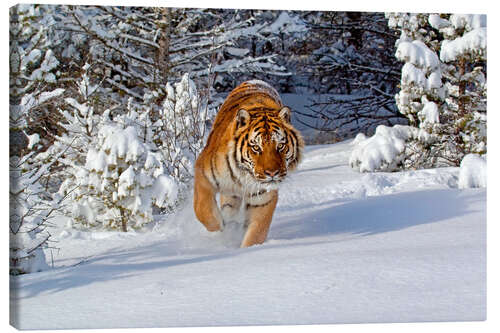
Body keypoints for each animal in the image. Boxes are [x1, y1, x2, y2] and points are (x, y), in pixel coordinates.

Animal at [192, 80, 302, 246]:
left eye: (280, 146)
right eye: (256, 147)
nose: (272, 173)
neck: (244, 175)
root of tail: (255, 81)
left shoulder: (263, 199)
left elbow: (257, 232)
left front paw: (249, 249)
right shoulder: (203, 175)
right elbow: (202, 209)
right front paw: (221, 229)